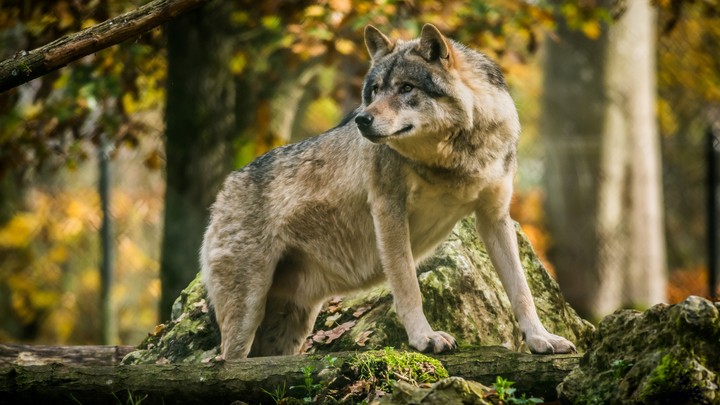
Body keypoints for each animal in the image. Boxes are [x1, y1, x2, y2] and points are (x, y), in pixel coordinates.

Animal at [201, 24, 576, 360]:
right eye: (376, 90)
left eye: (406, 87)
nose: (361, 120)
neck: (452, 159)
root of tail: (225, 189)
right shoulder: (388, 210)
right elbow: (408, 285)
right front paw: (424, 338)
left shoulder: (494, 218)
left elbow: (521, 289)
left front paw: (541, 339)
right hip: (248, 313)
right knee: (228, 361)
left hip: (290, 324)